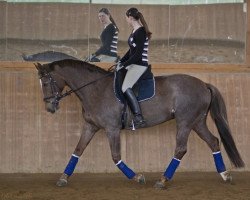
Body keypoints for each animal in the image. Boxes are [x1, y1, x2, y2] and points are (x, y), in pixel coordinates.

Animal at [34, 59, 244, 189]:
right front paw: (63, 178)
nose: (49, 107)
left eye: (46, 82)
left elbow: (115, 157)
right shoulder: (90, 126)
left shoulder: (112, 129)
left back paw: (162, 181)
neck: (95, 89)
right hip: (197, 122)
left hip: (185, 121)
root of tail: (203, 84)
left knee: (181, 149)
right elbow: (77, 150)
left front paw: (137, 177)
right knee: (214, 142)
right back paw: (225, 175)